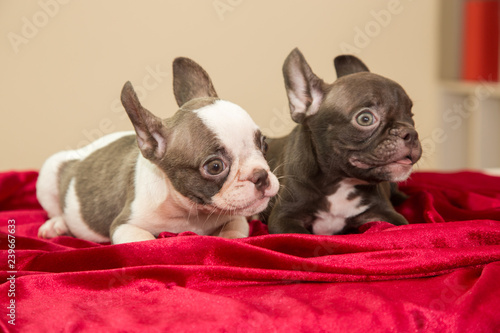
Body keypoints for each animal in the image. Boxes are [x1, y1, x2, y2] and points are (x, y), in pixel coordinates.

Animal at [38, 56, 282, 244]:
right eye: (215, 166)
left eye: (264, 145)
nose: (261, 176)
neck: (189, 213)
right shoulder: (125, 225)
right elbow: (145, 241)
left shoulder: (236, 218)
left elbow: (236, 228)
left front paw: (230, 239)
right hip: (48, 174)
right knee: (55, 209)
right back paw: (56, 224)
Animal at [266, 48, 422, 236]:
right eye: (365, 118)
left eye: (411, 116)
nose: (410, 133)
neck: (340, 183)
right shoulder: (284, 218)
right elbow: (301, 234)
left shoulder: (385, 213)